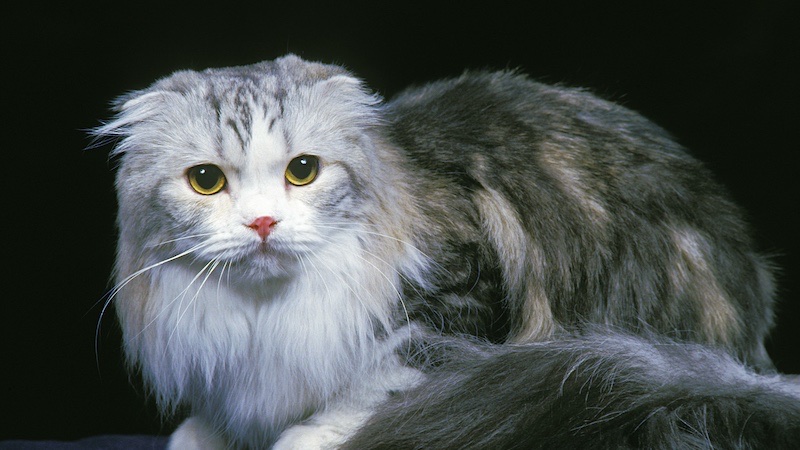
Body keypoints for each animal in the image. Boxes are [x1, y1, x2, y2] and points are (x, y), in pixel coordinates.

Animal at [95, 54, 800, 448]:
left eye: (302, 171)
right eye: (206, 181)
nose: (263, 222)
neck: (264, 313)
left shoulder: (458, 297)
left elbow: (378, 378)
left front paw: (307, 435)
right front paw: (205, 434)